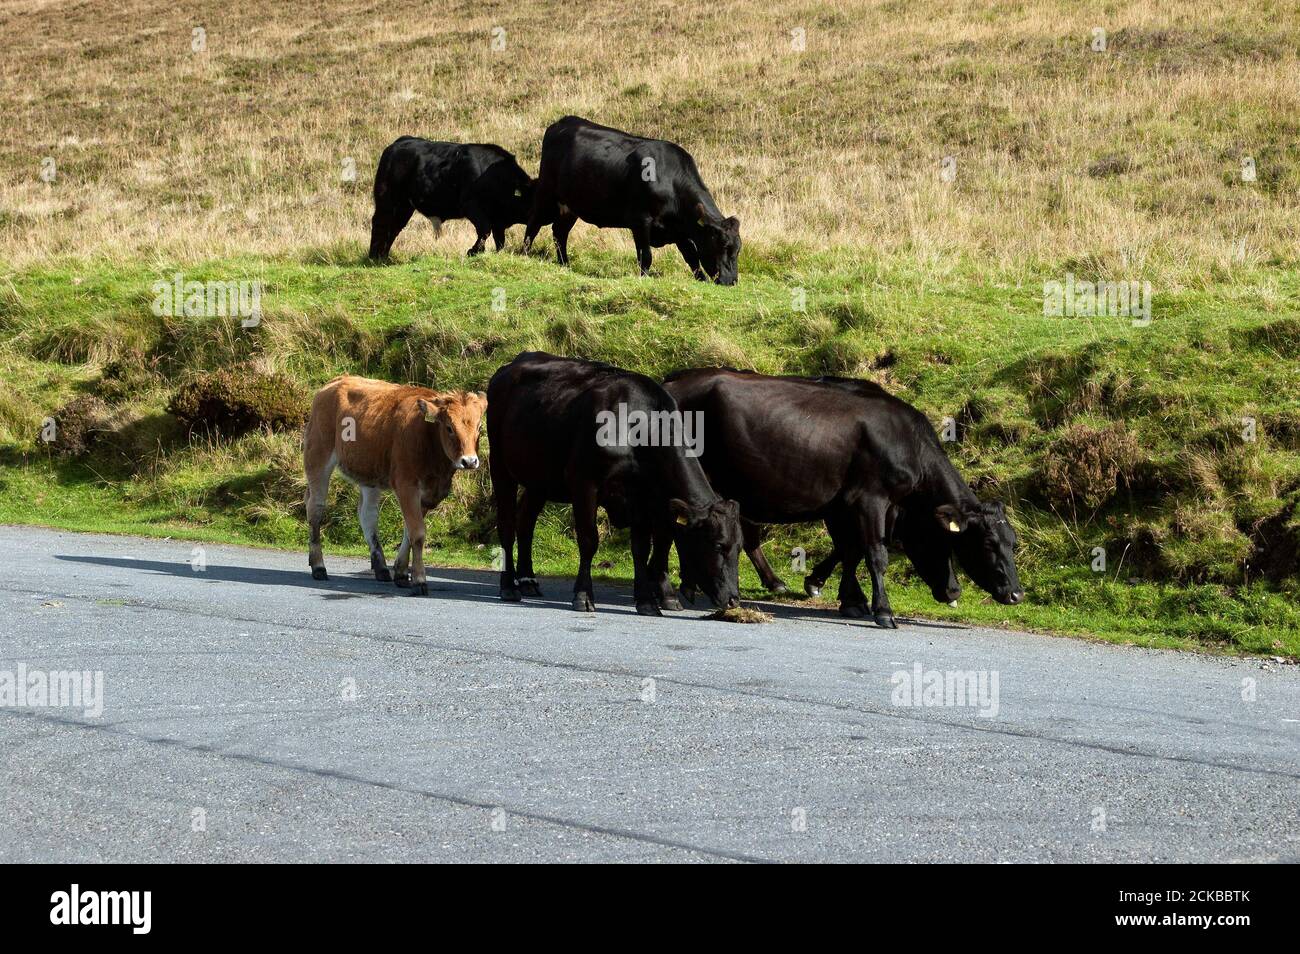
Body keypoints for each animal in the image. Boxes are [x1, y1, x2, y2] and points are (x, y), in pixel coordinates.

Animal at [302, 374, 488, 595]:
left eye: (479, 427)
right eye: (449, 428)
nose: (469, 461)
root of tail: (338, 381)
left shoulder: (427, 494)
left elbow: (409, 531)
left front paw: (400, 572)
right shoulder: (406, 485)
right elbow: (417, 533)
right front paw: (419, 579)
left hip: (370, 475)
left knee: (368, 515)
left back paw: (381, 567)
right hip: (318, 457)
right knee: (316, 509)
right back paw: (318, 566)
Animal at [371, 136, 538, 259]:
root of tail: (398, 143)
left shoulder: (497, 218)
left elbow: (500, 239)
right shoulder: (470, 205)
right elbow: (485, 230)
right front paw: (473, 251)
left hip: (404, 206)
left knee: (393, 227)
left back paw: (384, 256)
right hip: (387, 199)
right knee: (380, 222)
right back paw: (375, 256)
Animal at [488, 356, 743, 616]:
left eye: (739, 547)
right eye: (718, 545)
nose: (733, 599)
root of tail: (516, 362)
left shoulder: (643, 496)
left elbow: (641, 547)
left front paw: (646, 601)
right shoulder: (585, 483)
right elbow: (589, 541)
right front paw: (583, 596)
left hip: (539, 478)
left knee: (526, 521)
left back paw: (528, 580)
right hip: (499, 464)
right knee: (507, 524)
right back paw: (509, 586)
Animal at [520, 113, 743, 282]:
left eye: (738, 249)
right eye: (723, 245)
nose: (731, 281)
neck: (669, 180)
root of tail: (562, 122)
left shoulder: (679, 229)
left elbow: (692, 257)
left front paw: (701, 280)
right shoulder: (640, 221)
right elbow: (646, 256)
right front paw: (643, 279)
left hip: (571, 205)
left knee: (559, 232)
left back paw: (565, 264)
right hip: (547, 193)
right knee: (533, 224)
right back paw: (524, 254)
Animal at [655, 369, 1019, 631]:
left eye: (1012, 543)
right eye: (986, 544)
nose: (1017, 594)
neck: (906, 441)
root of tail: (675, 380)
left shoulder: (845, 505)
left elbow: (849, 549)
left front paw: (844, 596)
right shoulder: (869, 499)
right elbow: (873, 554)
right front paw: (881, 610)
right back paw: (683, 590)